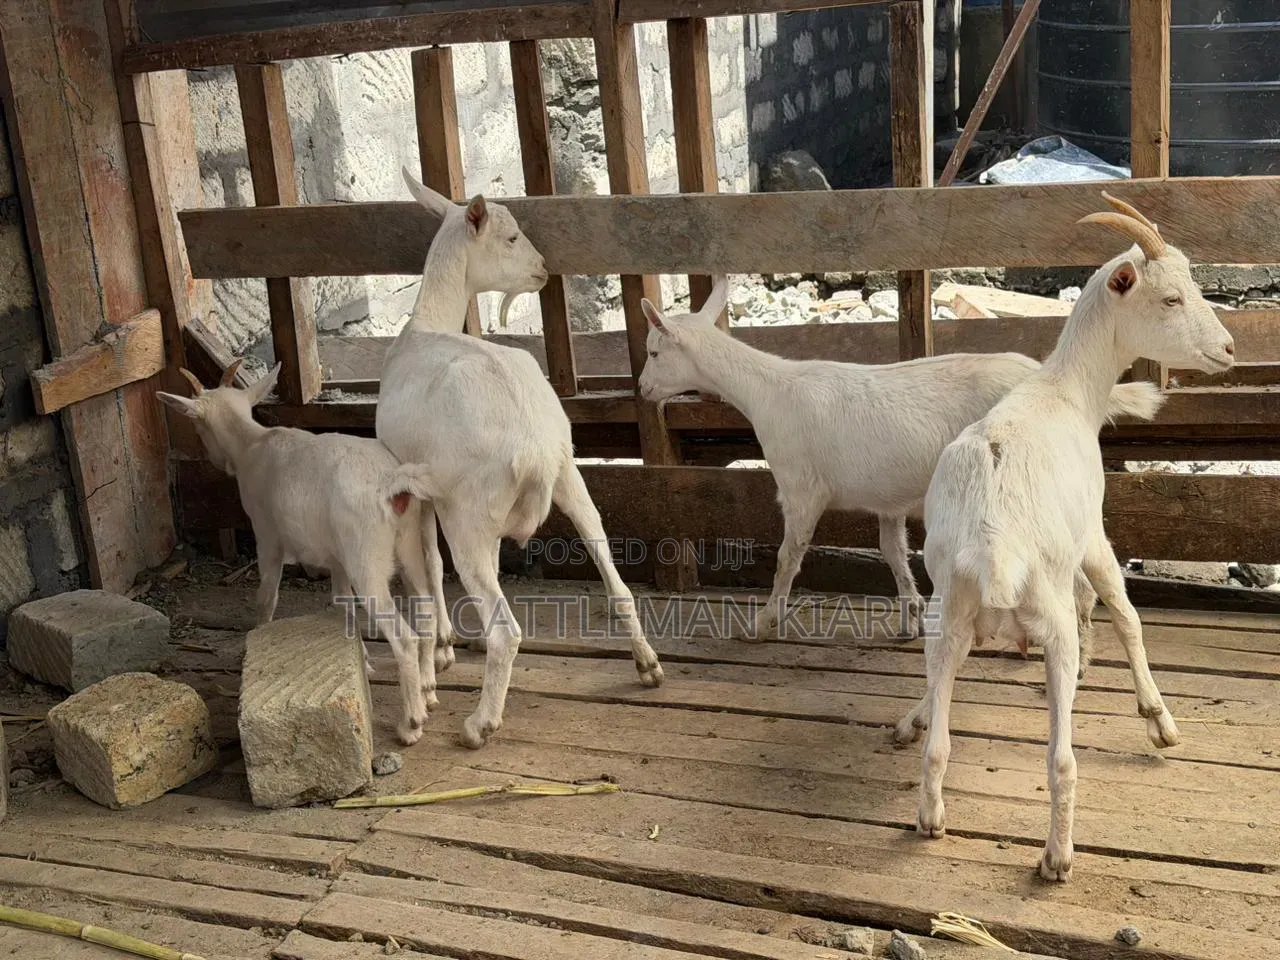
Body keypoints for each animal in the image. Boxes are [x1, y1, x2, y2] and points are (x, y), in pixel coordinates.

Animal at [157, 361, 446, 746]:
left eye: (197, 426)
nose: (214, 459)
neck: (253, 444)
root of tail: (394, 483)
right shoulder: (338, 558)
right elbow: (342, 604)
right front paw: (361, 658)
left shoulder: (267, 533)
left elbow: (267, 596)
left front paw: (257, 639)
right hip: (409, 540)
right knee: (425, 608)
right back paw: (428, 691)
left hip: (366, 554)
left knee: (403, 635)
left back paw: (411, 723)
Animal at [375, 168, 664, 750]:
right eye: (511, 237)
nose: (543, 268)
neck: (423, 326)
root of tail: (533, 447)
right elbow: (431, 567)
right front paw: (443, 648)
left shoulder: (416, 488)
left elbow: (428, 568)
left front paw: (435, 664)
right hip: (570, 475)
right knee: (614, 576)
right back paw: (647, 664)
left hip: (470, 513)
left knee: (505, 627)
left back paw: (479, 724)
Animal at [637, 281, 1164, 644]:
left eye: (654, 350)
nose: (641, 388)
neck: (768, 393)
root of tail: (1051, 377)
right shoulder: (885, 498)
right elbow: (892, 552)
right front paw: (910, 616)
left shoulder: (801, 488)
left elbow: (789, 556)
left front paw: (763, 623)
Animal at [907, 192, 1234, 882]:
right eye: (1171, 299)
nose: (1227, 348)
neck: (1067, 391)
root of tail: (994, 543)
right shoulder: (1093, 532)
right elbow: (1124, 609)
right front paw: (1158, 720)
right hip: (1045, 613)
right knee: (1061, 758)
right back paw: (1057, 857)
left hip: (945, 616)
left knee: (939, 743)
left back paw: (931, 816)